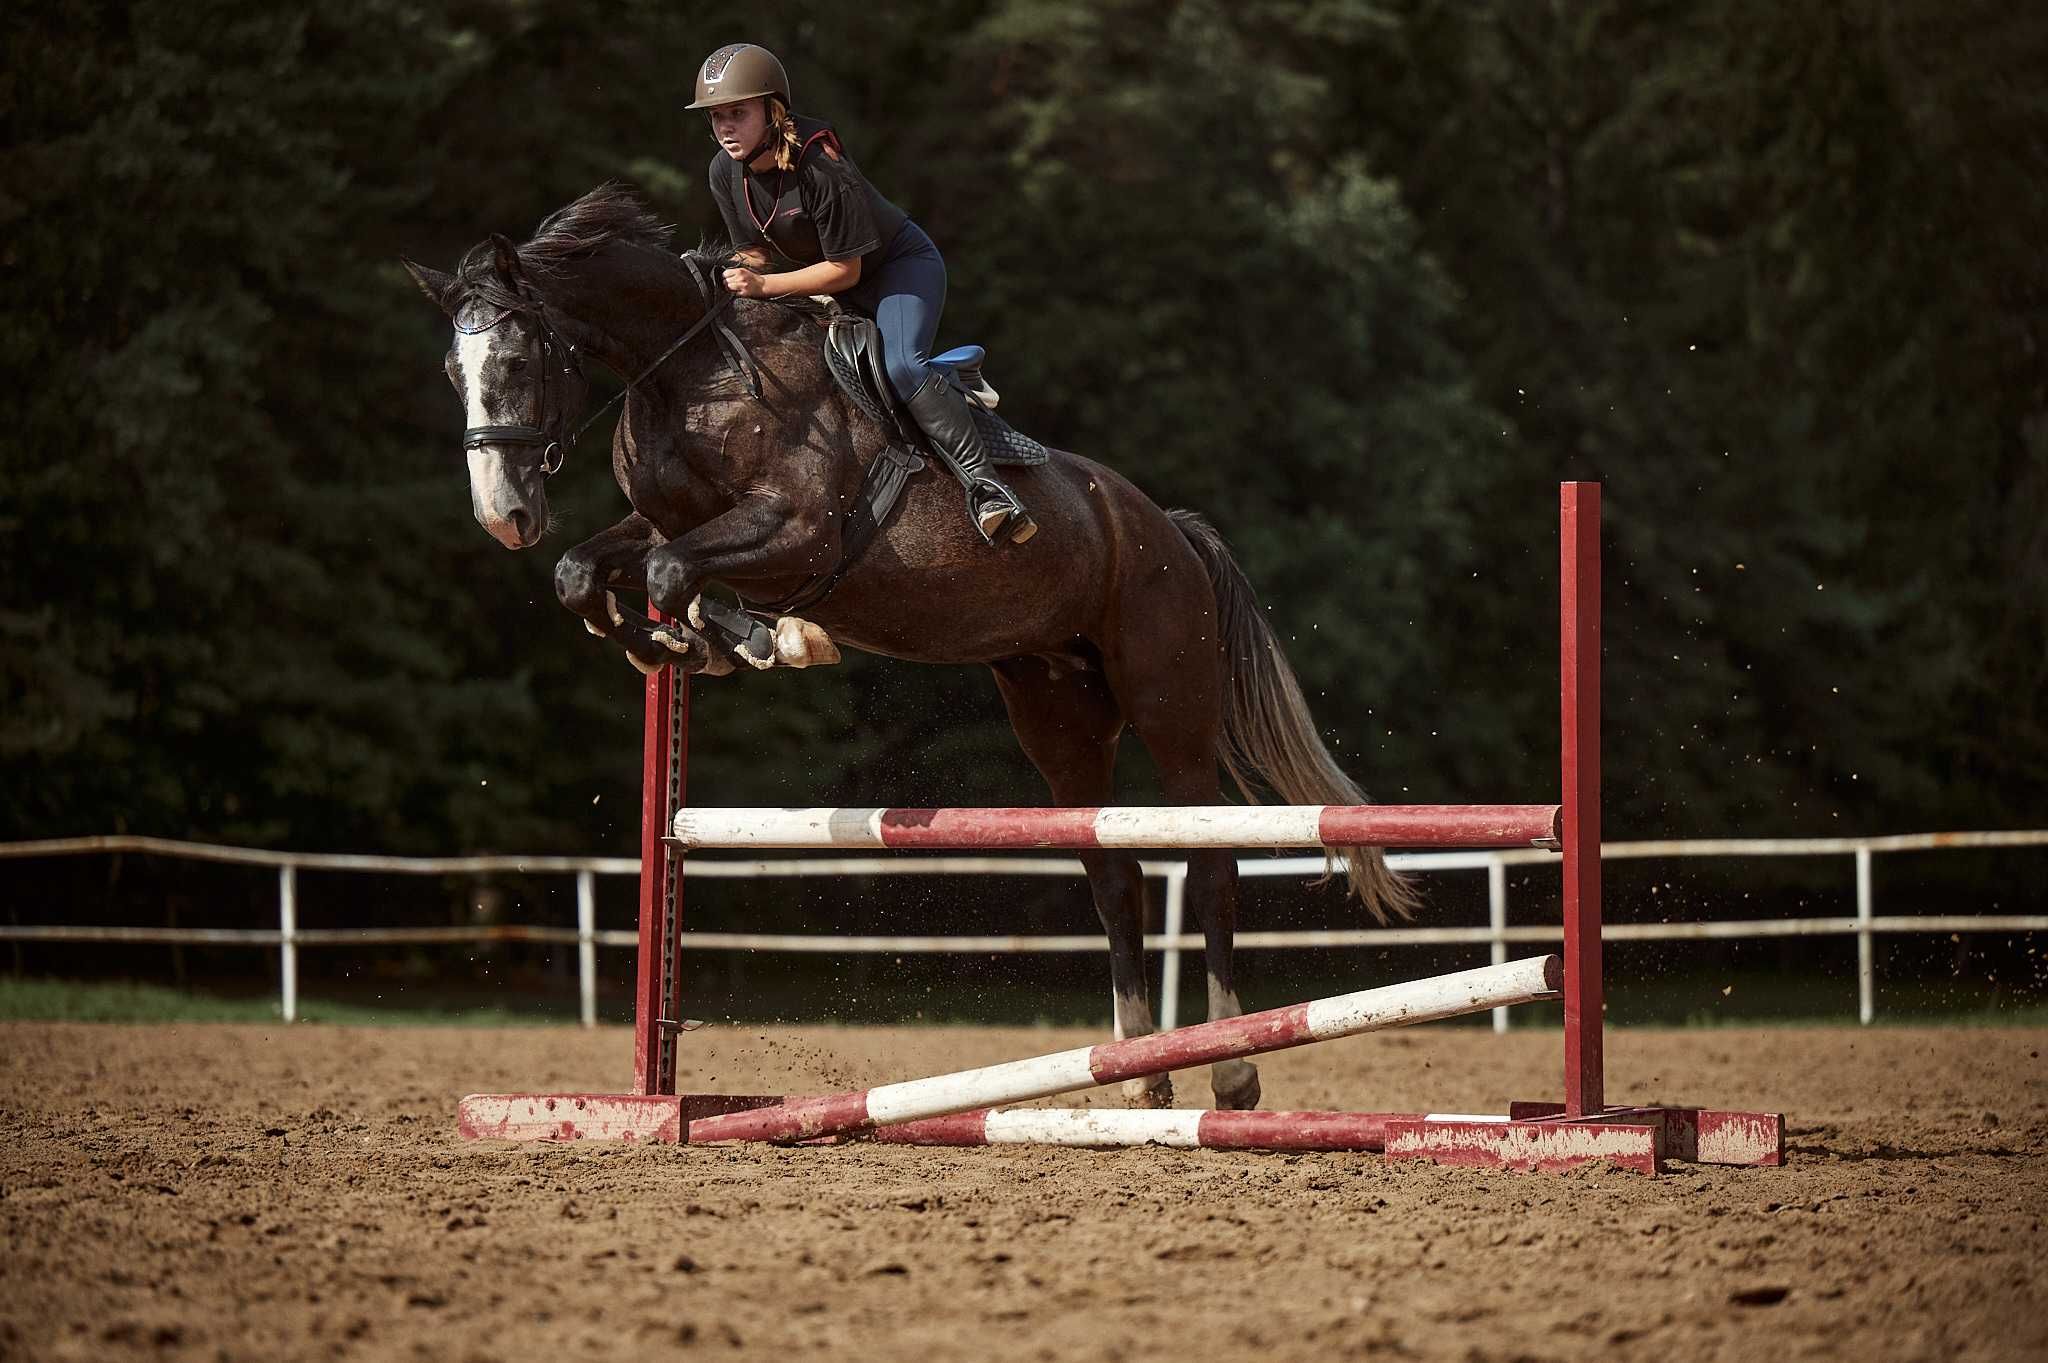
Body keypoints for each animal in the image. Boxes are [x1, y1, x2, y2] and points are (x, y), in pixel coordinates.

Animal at [405, 188, 1417, 1105]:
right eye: (453, 372)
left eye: (519, 358)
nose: (503, 516)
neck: (685, 375)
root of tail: (1167, 527)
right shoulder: (665, 526)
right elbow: (591, 571)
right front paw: (687, 646)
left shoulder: (797, 535)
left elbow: (669, 571)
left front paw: (760, 638)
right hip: (1058, 717)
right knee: (1112, 870)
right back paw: (1138, 1075)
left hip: (1171, 707)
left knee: (1206, 862)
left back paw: (1233, 1071)